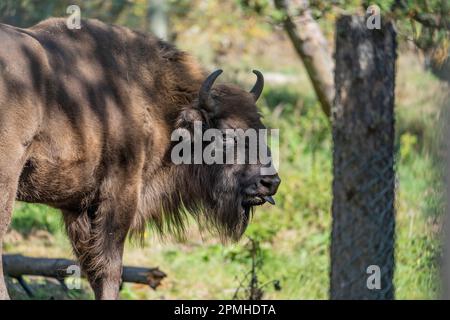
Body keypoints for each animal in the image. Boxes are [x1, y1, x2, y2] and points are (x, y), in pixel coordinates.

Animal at [0, 18, 280, 300]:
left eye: (261, 129)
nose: (270, 182)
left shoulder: (77, 207)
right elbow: (110, 267)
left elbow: (92, 266)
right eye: (225, 134)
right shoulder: (121, 191)